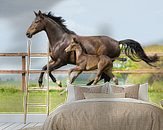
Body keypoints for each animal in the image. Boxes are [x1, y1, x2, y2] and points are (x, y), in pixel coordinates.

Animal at [26, 10, 159, 87]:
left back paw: (90, 85)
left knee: (104, 77)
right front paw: (40, 83)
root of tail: (117, 42)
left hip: (105, 63)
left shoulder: (61, 62)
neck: (60, 40)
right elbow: (44, 68)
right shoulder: (54, 60)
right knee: (106, 77)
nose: (27, 33)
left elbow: (49, 70)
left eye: (37, 21)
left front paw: (58, 83)